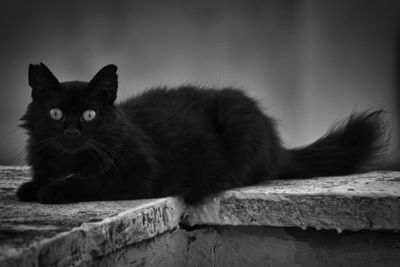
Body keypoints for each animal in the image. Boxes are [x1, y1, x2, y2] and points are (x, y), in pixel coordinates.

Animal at [16, 63, 384, 205]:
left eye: (90, 115)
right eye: (55, 113)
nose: (71, 130)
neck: (69, 160)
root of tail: (278, 144)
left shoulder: (137, 174)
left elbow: (88, 181)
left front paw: (53, 189)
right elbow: (39, 179)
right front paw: (32, 187)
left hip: (237, 121)